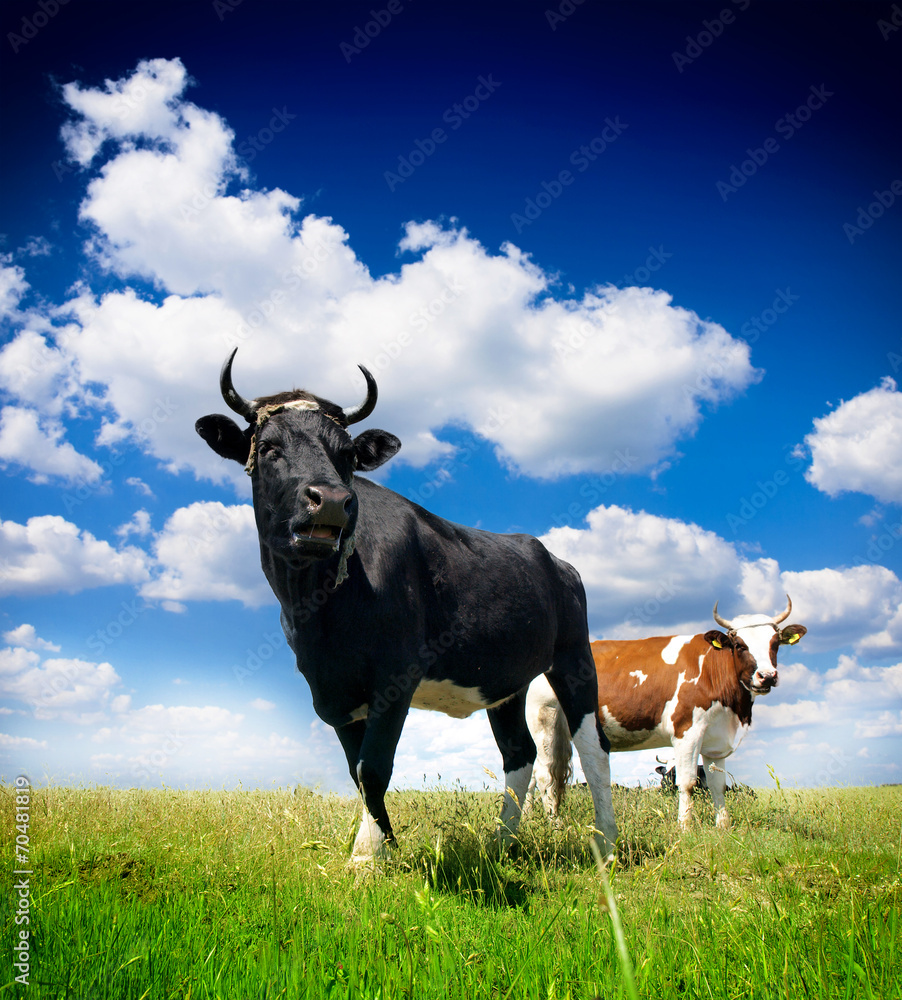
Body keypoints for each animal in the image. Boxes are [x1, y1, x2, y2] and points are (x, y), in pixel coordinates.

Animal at [196, 350, 620, 860]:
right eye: (270, 448)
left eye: (347, 454)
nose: (331, 501)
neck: (318, 606)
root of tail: (553, 558)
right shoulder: (330, 689)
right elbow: (358, 773)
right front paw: (386, 846)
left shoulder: (396, 675)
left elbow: (373, 767)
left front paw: (365, 856)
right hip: (507, 682)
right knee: (519, 753)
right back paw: (502, 841)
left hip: (575, 657)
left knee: (594, 748)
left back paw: (607, 842)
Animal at [528, 596, 808, 832]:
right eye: (740, 645)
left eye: (775, 643)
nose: (767, 677)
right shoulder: (687, 731)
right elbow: (687, 782)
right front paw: (685, 827)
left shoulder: (716, 738)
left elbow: (717, 784)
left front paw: (723, 827)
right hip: (544, 721)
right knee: (544, 775)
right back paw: (555, 825)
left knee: (534, 775)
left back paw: (530, 817)